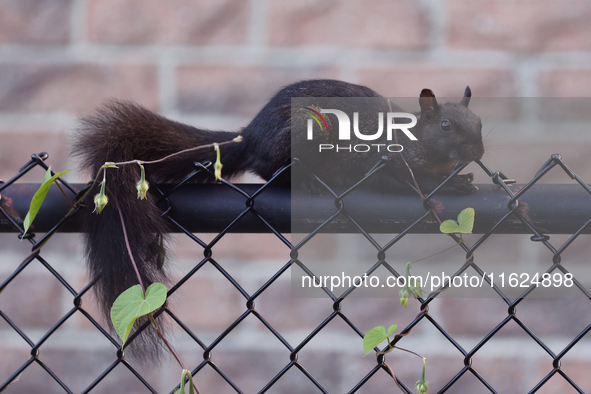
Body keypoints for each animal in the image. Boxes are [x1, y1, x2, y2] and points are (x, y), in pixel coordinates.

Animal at [70, 78, 486, 358]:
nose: (479, 151)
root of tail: (250, 136)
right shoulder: (382, 162)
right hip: (298, 138)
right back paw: (309, 183)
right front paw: (446, 189)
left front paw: (460, 178)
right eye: (446, 126)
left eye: (479, 122)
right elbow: (397, 184)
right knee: (270, 172)